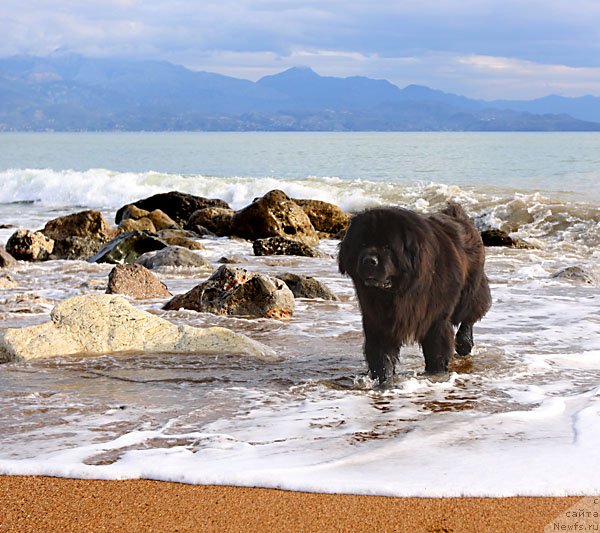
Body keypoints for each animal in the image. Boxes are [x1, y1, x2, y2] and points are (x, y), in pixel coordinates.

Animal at [340, 201, 490, 382]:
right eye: (362, 244)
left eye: (387, 247)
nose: (369, 260)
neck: (400, 291)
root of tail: (458, 216)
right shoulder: (378, 321)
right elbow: (382, 357)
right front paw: (385, 381)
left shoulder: (435, 319)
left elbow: (436, 352)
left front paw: (436, 374)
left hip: (470, 288)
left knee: (469, 313)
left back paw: (464, 343)